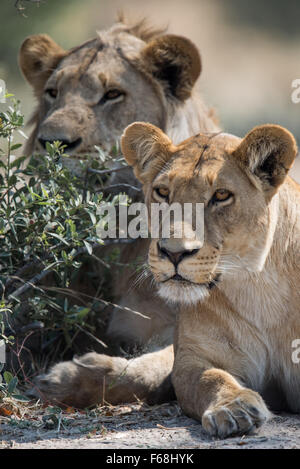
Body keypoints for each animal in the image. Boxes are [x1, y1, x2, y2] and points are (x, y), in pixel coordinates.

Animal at [119, 119, 300, 436]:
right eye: (163, 192)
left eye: (221, 196)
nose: (174, 252)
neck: (258, 285)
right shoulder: (193, 358)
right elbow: (211, 379)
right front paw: (234, 407)